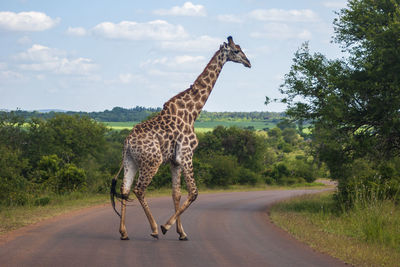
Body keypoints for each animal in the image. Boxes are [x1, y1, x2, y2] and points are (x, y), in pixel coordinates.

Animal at [111, 35, 252, 241]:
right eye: (236, 51)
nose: (248, 62)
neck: (191, 113)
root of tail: (128, 142)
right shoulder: (186, 154)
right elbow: (193, 193)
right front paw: (166, 227)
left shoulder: (175, 161)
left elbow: (176, 194)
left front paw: (182, 232)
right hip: (152, 161)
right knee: (139, 189)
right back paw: (154, 229)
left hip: (131, 161)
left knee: (124, 190)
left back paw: (123, 232)